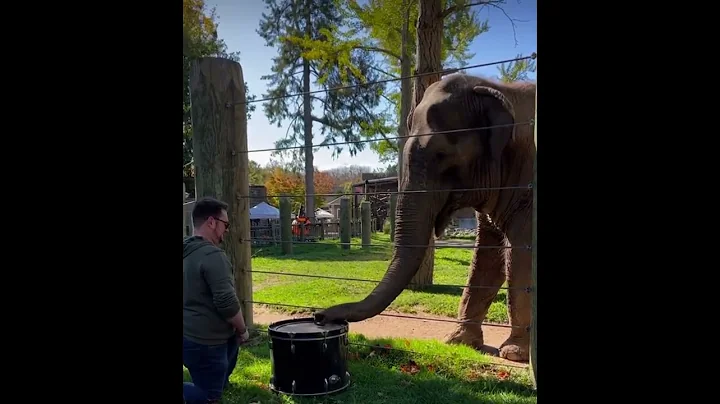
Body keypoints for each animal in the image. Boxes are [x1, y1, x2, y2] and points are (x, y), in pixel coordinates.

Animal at [314, 73, 536, 362]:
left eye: (442, 155)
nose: (318, 315)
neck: (501, 89)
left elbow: (519, 255)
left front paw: (513, 354)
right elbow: (486, 256)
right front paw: (459, 342)